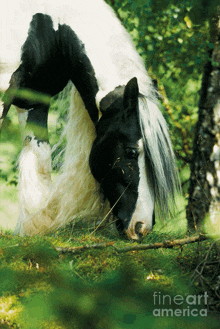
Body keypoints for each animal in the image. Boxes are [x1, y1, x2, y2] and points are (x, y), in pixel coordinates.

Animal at [0, 0, 180, 241]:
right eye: (132, 151)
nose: (141, 227)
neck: (48, 25)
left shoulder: (35, 99)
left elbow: (40, 159)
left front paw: (33, 227)